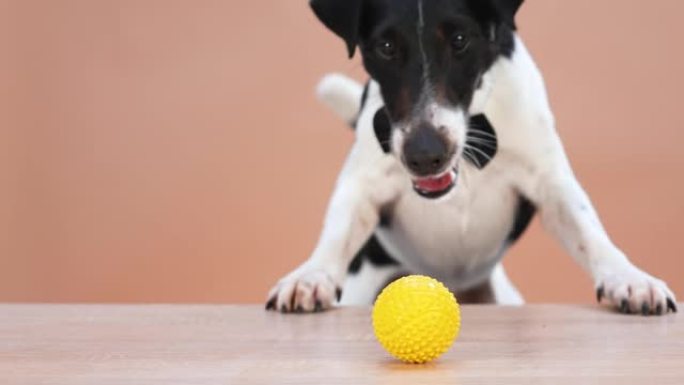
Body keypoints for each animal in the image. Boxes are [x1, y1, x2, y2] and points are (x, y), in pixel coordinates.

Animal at [264, 0, 676, 314]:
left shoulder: (550, 181)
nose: (425, 155)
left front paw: (629, 278)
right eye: (385, 46)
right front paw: (311, 275)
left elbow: (589, 230)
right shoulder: (363, 183)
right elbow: (338, 230)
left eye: (460, 40)